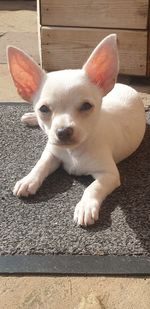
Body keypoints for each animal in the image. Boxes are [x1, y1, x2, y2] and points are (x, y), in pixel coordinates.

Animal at [7, 35, 145, 225]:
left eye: (86, 106)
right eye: (43, 109)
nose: (63, 131)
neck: (74, 152)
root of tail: (123, 85)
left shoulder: (109, 175)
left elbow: (93, 187)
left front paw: (86, 206)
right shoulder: (52, 152)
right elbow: (41, 164)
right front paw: (28, 180)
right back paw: (29, 117)